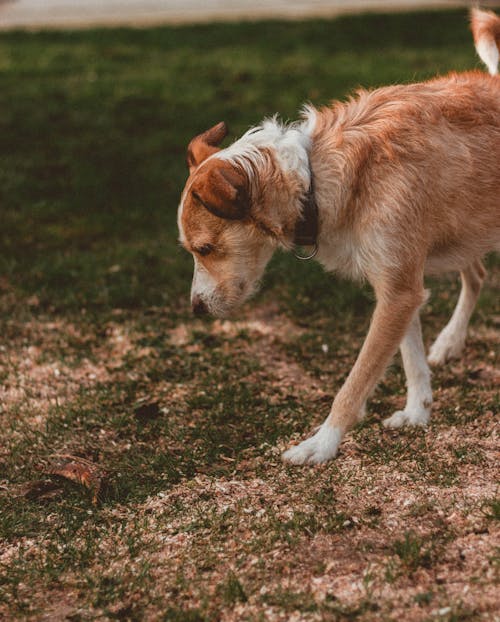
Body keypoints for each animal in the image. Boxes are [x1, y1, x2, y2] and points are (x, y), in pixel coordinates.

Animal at [178, 9, 498, 466]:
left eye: (205, 249)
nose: (196, 309)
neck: (312, 177)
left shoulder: (399, 291)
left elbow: (356, 381)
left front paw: (322, 443)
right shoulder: (400, 284)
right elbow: (410, 357)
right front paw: (418, 410)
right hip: (461, 232)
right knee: (477, 274)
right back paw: (450, 343)